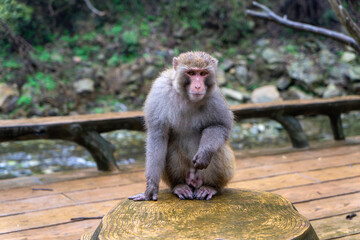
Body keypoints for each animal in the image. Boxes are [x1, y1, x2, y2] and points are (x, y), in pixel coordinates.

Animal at [128, 51, 235, 202]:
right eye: (191, 73)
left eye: (203, 73)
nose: (198, 86)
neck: (186, 97)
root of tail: (193, 181)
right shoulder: (159, 91)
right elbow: (158, 135)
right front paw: (150, 189)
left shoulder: (215, 96)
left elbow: (220, 126)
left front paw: (205, 153)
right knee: (170, 146)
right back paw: (179, 186)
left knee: (218, 149)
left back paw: (210, 187)